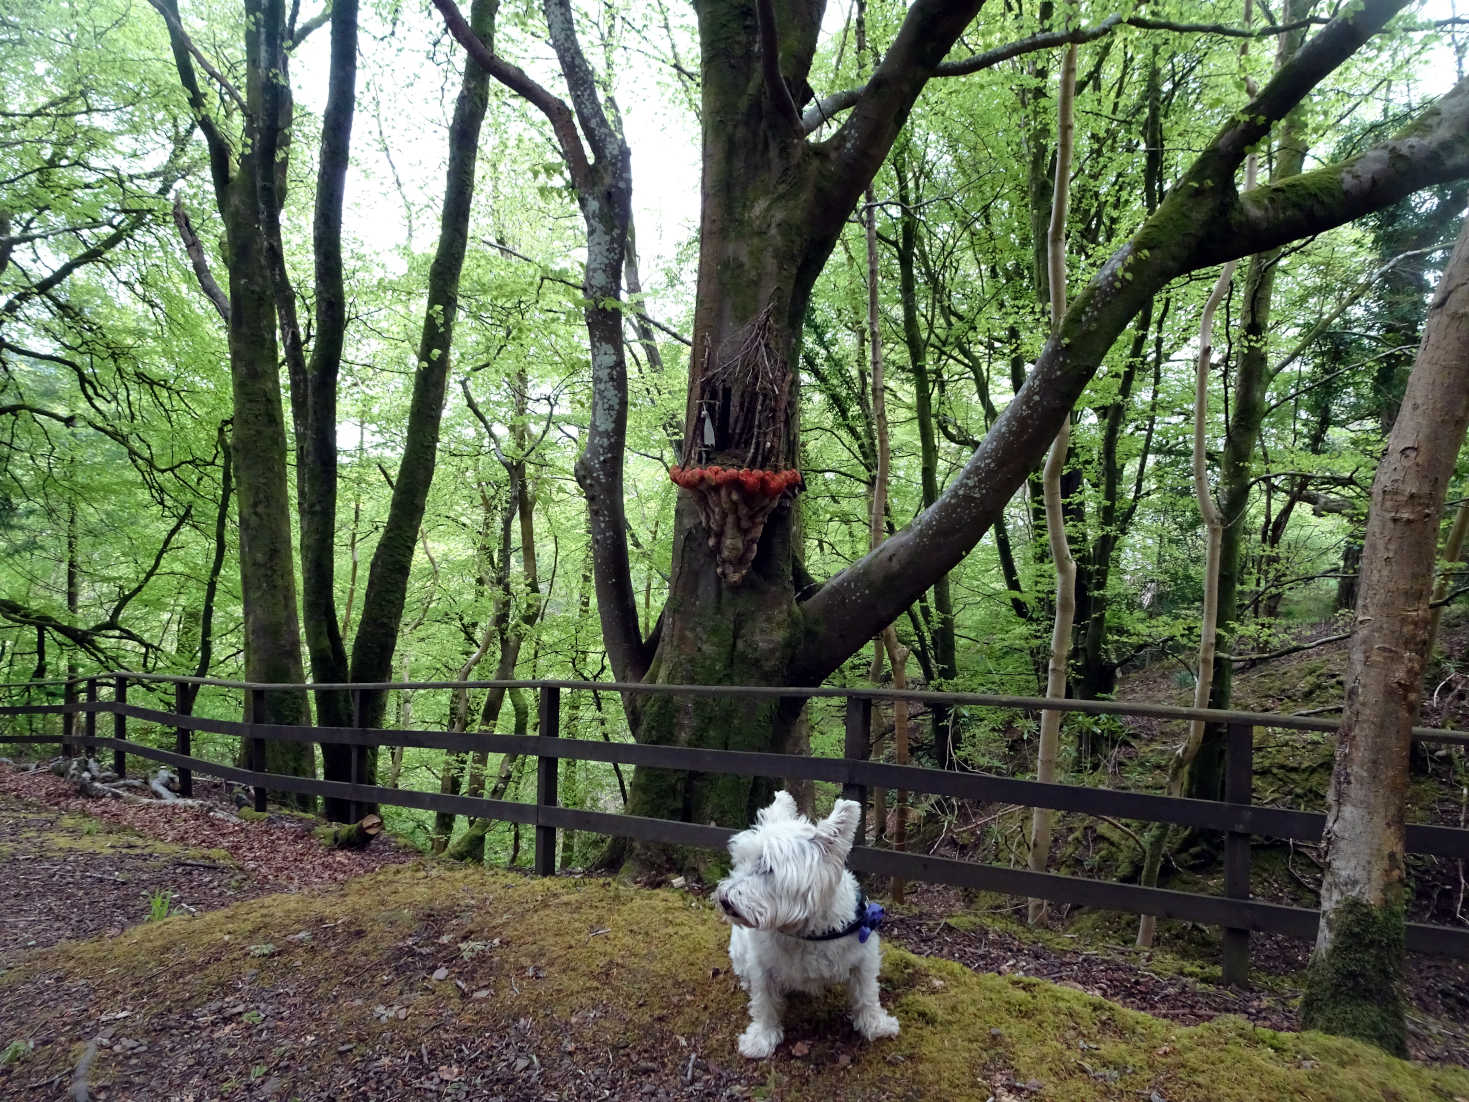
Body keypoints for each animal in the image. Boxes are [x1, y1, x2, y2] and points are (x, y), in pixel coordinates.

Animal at [708, 793, 893, 1063]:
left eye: (767, 867)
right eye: (740, 860)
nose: (724, 900)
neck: (805, 932)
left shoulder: (863, 958)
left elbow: (867, 993)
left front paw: (877, 1025)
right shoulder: (762, 966)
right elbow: (764, 1003)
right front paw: (760, 1039)